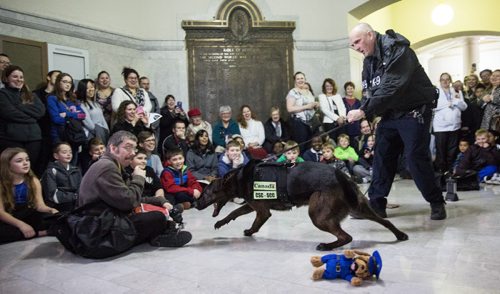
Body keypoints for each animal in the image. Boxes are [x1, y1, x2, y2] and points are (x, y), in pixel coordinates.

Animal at [194, 161, 406, 250]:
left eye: (207, 193)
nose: (195, 203)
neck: (239, 177)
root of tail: (341, 176)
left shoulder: (262, 211)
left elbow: (253, 222)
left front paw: (250, 231)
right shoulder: (253, 205)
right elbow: (235, 213)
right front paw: (222, 223)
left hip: (317, 215)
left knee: (346, 237)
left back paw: (327, 246)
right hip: (360, 207)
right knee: (385, 222)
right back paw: (400, 235)